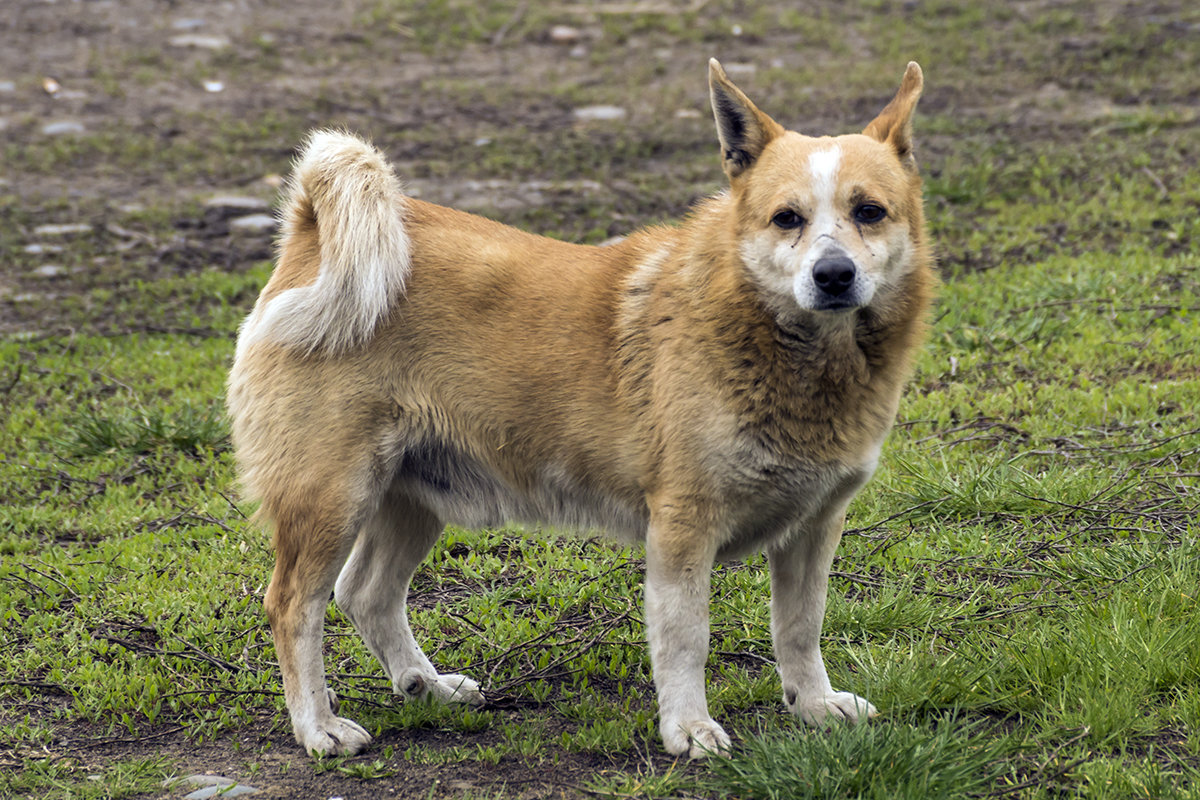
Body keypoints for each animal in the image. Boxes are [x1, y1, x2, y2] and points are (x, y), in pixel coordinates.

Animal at [226, 59, 936, 762]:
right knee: (293, 604)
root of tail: (310, 231)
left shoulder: (814, 527)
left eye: (869, 212)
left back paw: (426, 686)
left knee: (366, 595)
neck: (786, 349)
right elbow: (687, 639)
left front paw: (814, 705)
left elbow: (801, 627)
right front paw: (687, 729)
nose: (833, 275)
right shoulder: (683, 528)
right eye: (787, 218)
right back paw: (317, 728)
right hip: (331, 498)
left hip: (412, 497)